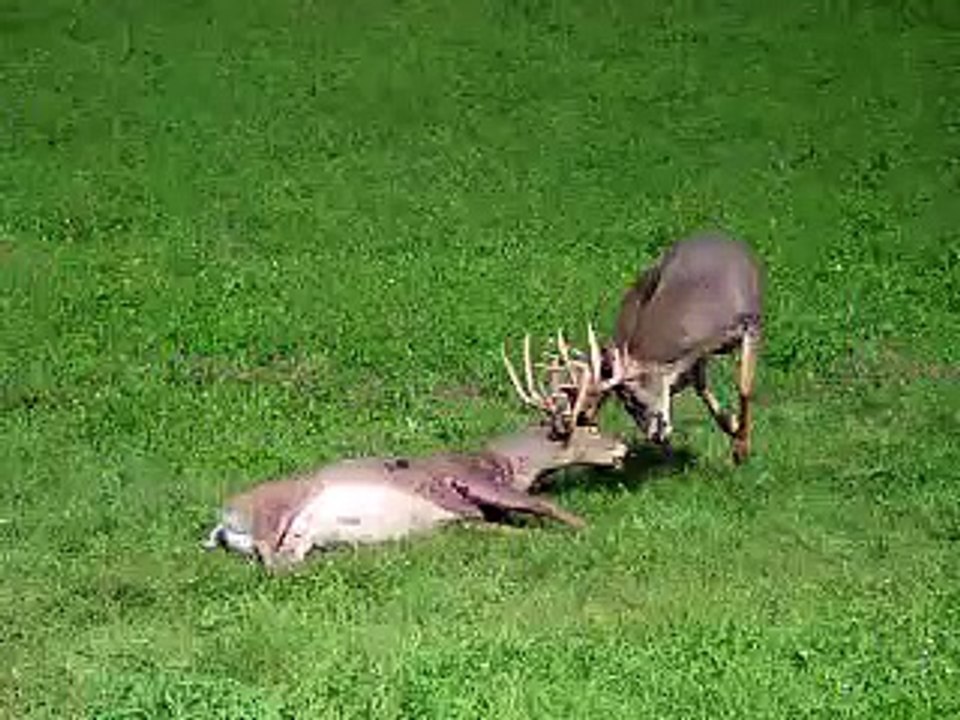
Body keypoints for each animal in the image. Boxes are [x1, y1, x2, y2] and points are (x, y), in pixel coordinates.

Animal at [202, 332, 627, 570]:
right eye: (589, 424)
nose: (622, 448)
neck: (505, 463)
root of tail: (223, 521)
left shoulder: (470, 517)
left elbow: (507, 525)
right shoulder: (467, 479)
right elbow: (543, 506)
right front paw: (591, 529)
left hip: (297, 537)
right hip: (275, 505)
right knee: (268, 557)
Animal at [565, 232, 763, 465]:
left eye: (632, 400)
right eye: (626, 404)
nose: (655, 436)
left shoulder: (751, 325)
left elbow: (744, 387)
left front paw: (742, 448)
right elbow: (698, 385)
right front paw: (734, 430)